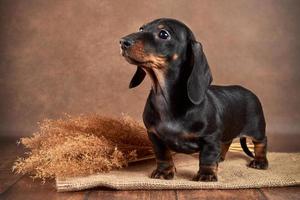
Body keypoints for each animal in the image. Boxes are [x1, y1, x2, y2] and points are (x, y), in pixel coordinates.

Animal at [119, 18, 268, 181]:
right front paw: (164, 171)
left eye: (163, 34)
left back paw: (260, 162)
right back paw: (220, 157)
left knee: (261, 143)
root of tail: (248, 91)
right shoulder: (154, 136)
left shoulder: (210, 138)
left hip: (256, 128)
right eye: (141, 29)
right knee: (226, 142)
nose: (123, 41)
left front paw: (206, 174)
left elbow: (207, 158)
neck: (166, 100)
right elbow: (162, 155)